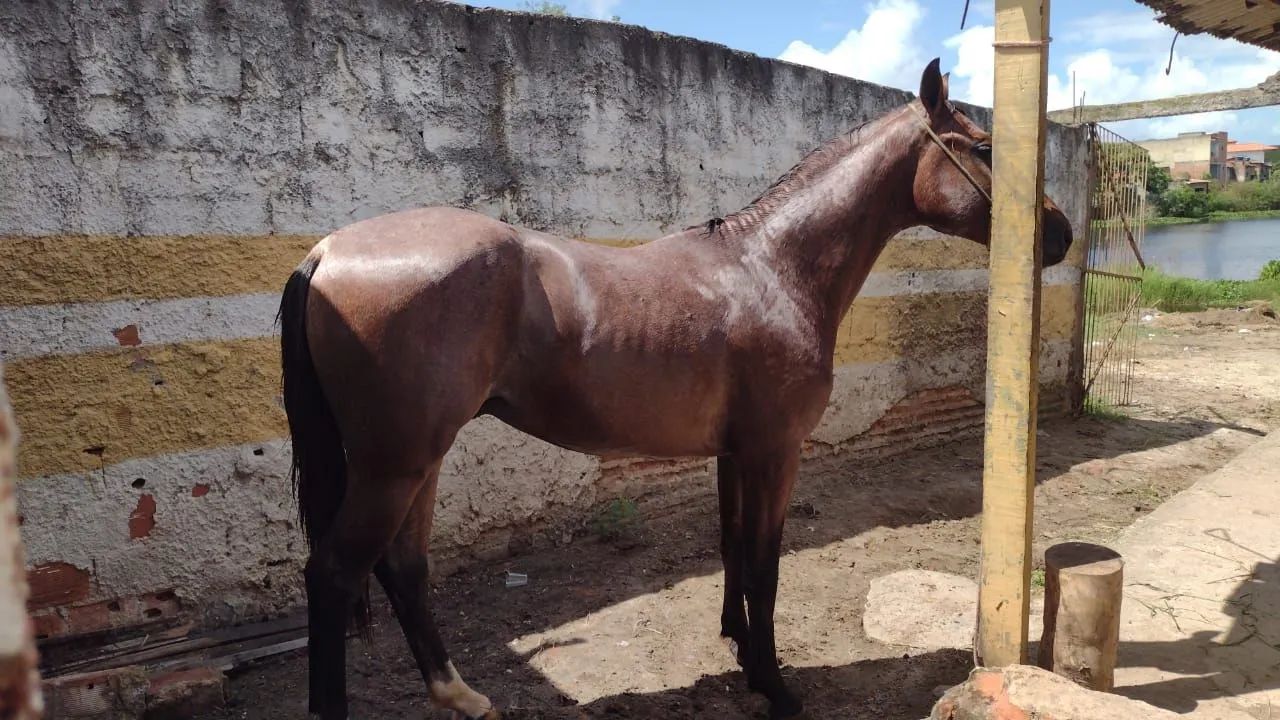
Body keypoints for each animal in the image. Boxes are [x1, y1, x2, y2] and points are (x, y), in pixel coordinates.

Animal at [279, 58, 1073, 720]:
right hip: (395, 465)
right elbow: (764, 563)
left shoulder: (733, 454)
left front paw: (741, 652)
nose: (1061, 235)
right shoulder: (774, 453)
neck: (769, 268)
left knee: (404, 568)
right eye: (983, 147)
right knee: (334, 574)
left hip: (421, 460)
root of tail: (326, 252)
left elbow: (731, 548)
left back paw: (461, 696)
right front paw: (775, 685)